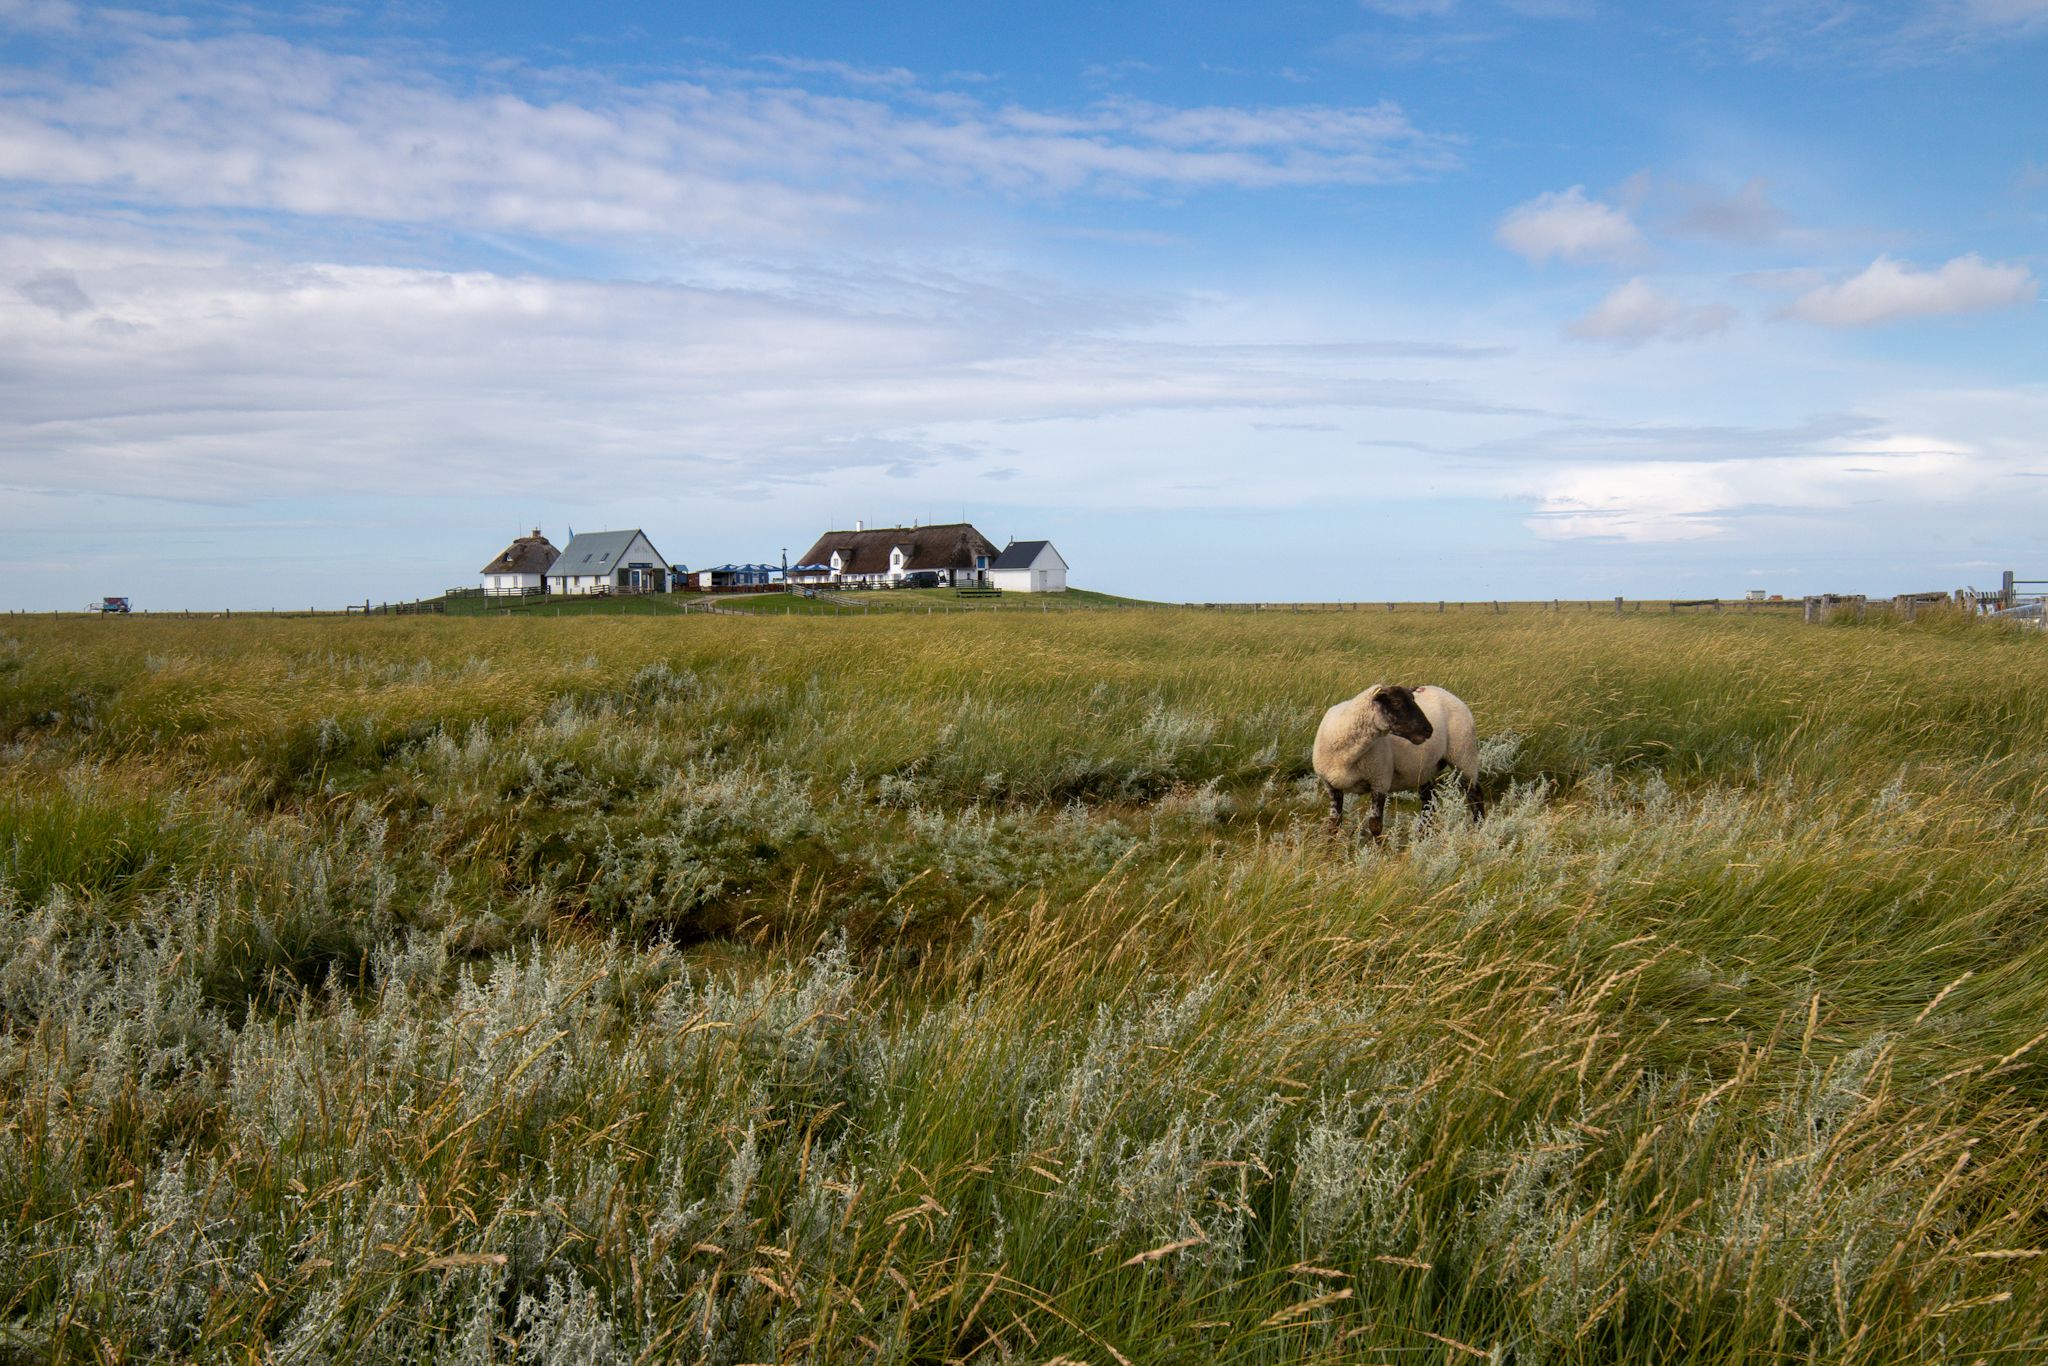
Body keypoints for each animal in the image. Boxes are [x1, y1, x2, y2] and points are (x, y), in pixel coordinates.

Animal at [1318, 688, 1482, 839]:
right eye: (1396, 702)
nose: (1429, 730)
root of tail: (1448, 693)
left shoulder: (1380, 781)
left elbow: (1375, 825)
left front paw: (1377, 851)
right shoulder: (1331, 786)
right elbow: (1334, 823)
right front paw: (1330, 848)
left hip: (1463, 755)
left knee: (1475, 795)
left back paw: (1478, 831)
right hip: (1423, 771)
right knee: (1429, 803)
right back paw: (1421, 837)